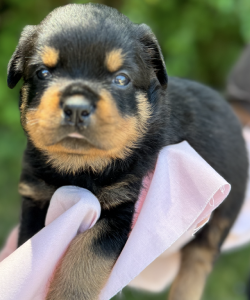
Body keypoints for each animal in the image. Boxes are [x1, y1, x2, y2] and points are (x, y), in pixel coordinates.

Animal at [7, 2, 248, 300]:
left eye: (121, 79)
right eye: (43, 73)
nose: (76, 107)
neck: (80, 167)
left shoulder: (120, 209)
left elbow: (82, 260)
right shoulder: (36, 201)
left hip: (226, 209)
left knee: (198, 260)